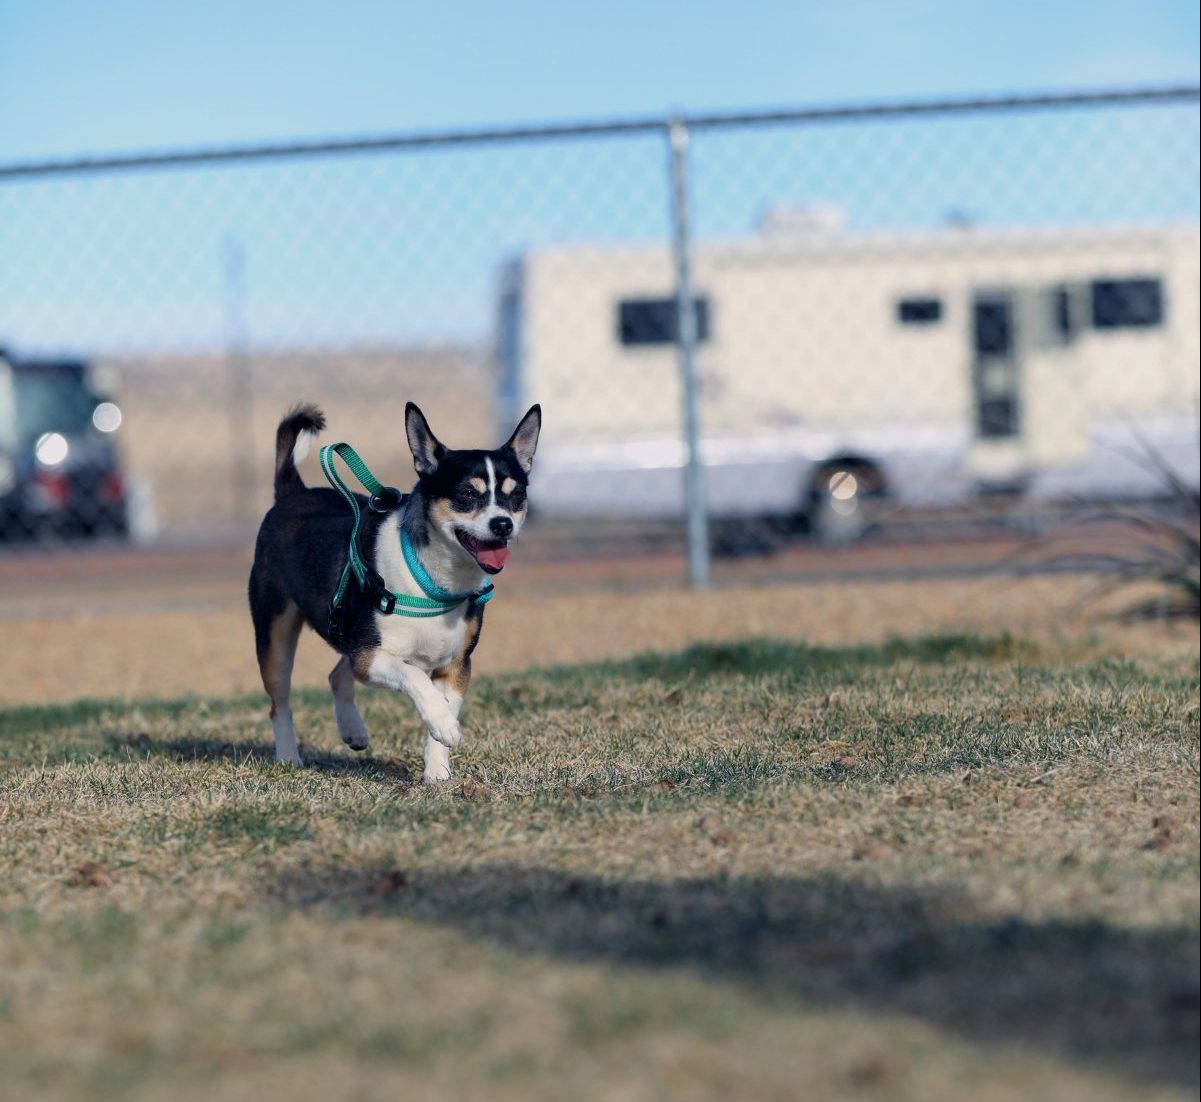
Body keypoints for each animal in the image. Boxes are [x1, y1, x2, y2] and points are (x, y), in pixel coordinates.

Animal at [248, 400, 540, 782]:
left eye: (517, 496)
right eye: (467, 495)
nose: (502, 524)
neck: (431, 580)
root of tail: (292, 491)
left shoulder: (456, 665)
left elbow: (442, 708)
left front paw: (437, 772)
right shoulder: (371, 657)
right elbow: (415, 676)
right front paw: (444, 724)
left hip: (349, 634)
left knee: (336, 675)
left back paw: (353, 730)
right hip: (277, 635)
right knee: (279, 704)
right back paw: (287, 757)